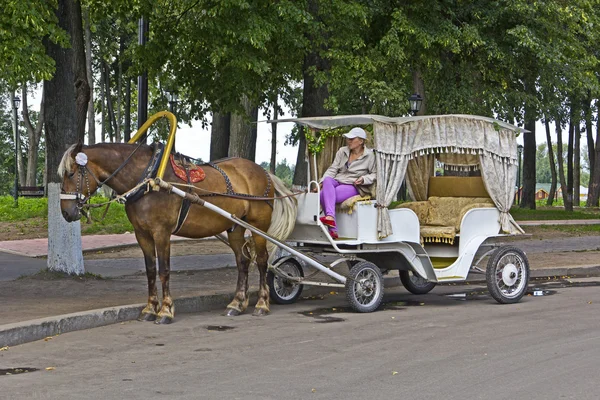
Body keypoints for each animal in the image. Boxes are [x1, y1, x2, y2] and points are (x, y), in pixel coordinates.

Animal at [58, 142, 298, 324]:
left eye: (71, 173)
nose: (66, 212)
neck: (149, 180)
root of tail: (264, 172)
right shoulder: (142, 234)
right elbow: (150, 270)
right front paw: (149, 309)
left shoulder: (161, 232)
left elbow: (164, 270)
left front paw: (165, 311)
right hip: (235, 226)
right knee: (243, 261)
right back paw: (237, 304)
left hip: (258, 225)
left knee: (262, 261)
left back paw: (262, 304)